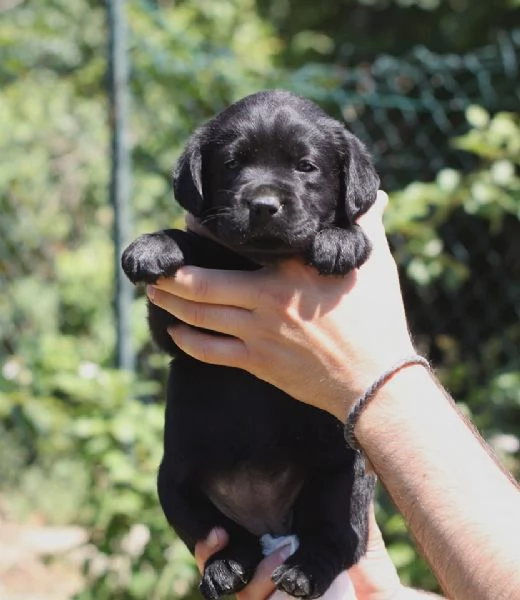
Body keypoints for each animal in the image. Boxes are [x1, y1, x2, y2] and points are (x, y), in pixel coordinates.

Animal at [123, 90, 382, 600]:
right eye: (231, 164)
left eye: (306, 165)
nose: (263, 204)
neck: (259, 261)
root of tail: (269, 519)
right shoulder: (174, 326)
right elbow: (190, 246)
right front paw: (153, 245)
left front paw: (342, 240)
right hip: (175, 485)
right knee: (225, 536)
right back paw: (225, 567)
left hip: (343, 481)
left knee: (336, 541)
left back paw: (303, 572)